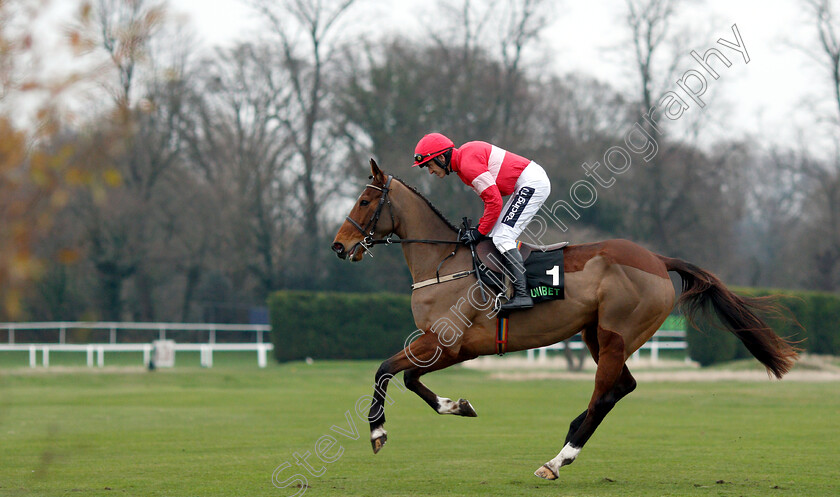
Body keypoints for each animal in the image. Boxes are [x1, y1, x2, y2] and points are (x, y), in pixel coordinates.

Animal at [332, 159, 796, 476]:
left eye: (365, 200)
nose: (339, 245)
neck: (445, 264)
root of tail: (658, 259)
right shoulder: (446, 347)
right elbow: (409, 377)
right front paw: (458, 405)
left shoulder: (449, 344)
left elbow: (384, 369)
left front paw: (377, 433)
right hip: (595, 334)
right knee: (620, 388)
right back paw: (569, 435)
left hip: (615, 334)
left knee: (604, 394)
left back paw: (559, 458)